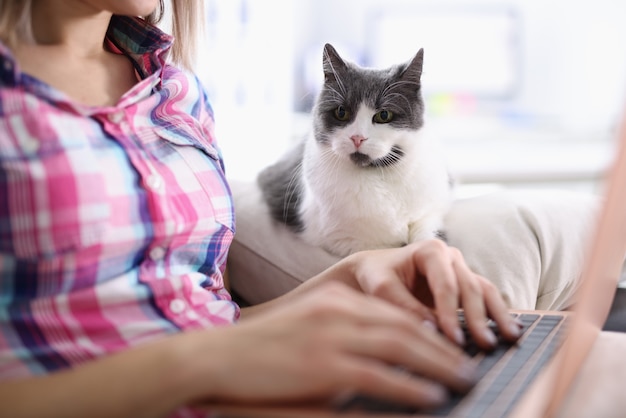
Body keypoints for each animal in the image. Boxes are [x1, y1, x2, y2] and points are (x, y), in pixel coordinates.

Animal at [256, 43, 450, 258]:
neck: (378, 176)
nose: (357, 137)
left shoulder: (431, 212)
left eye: (384, 115)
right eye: (341, 112)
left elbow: (429, 236)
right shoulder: (347, 241)